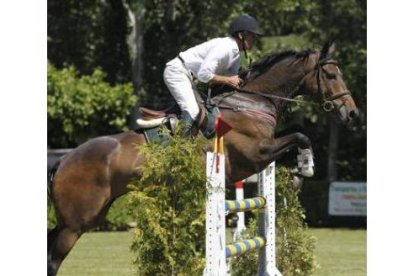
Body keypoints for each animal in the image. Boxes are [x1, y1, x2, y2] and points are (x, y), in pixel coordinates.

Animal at [47, 42, 360, 274]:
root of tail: (63, 161)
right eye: (331, 76)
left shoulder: (265, 150)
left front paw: (297, 174)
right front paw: (306, 166)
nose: (352, 114)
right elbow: (299, 136)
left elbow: (296, 132)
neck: (250, 102)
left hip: (88, 216)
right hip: (77, 223)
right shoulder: (255, 154)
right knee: (54, 257)